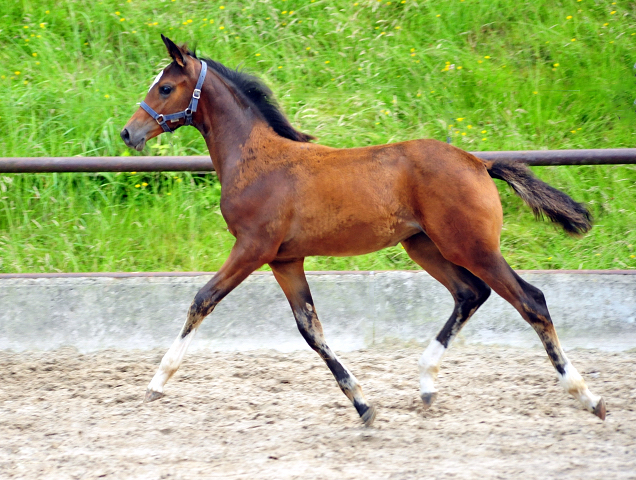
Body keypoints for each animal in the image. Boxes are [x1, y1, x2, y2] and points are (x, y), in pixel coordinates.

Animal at [120, 37, 608, 426]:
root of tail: (478, 162)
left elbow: (203, 299)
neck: (254, 159)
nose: (129, 133)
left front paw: (157, 382)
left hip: (471, 246)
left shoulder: (253, 248)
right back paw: (426, 383)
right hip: (424, 247)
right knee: (471, 293)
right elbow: (310, 329)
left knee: (531, 300)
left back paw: (588, 396)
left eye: (165, 87)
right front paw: (362, 404)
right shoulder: (285, 259)